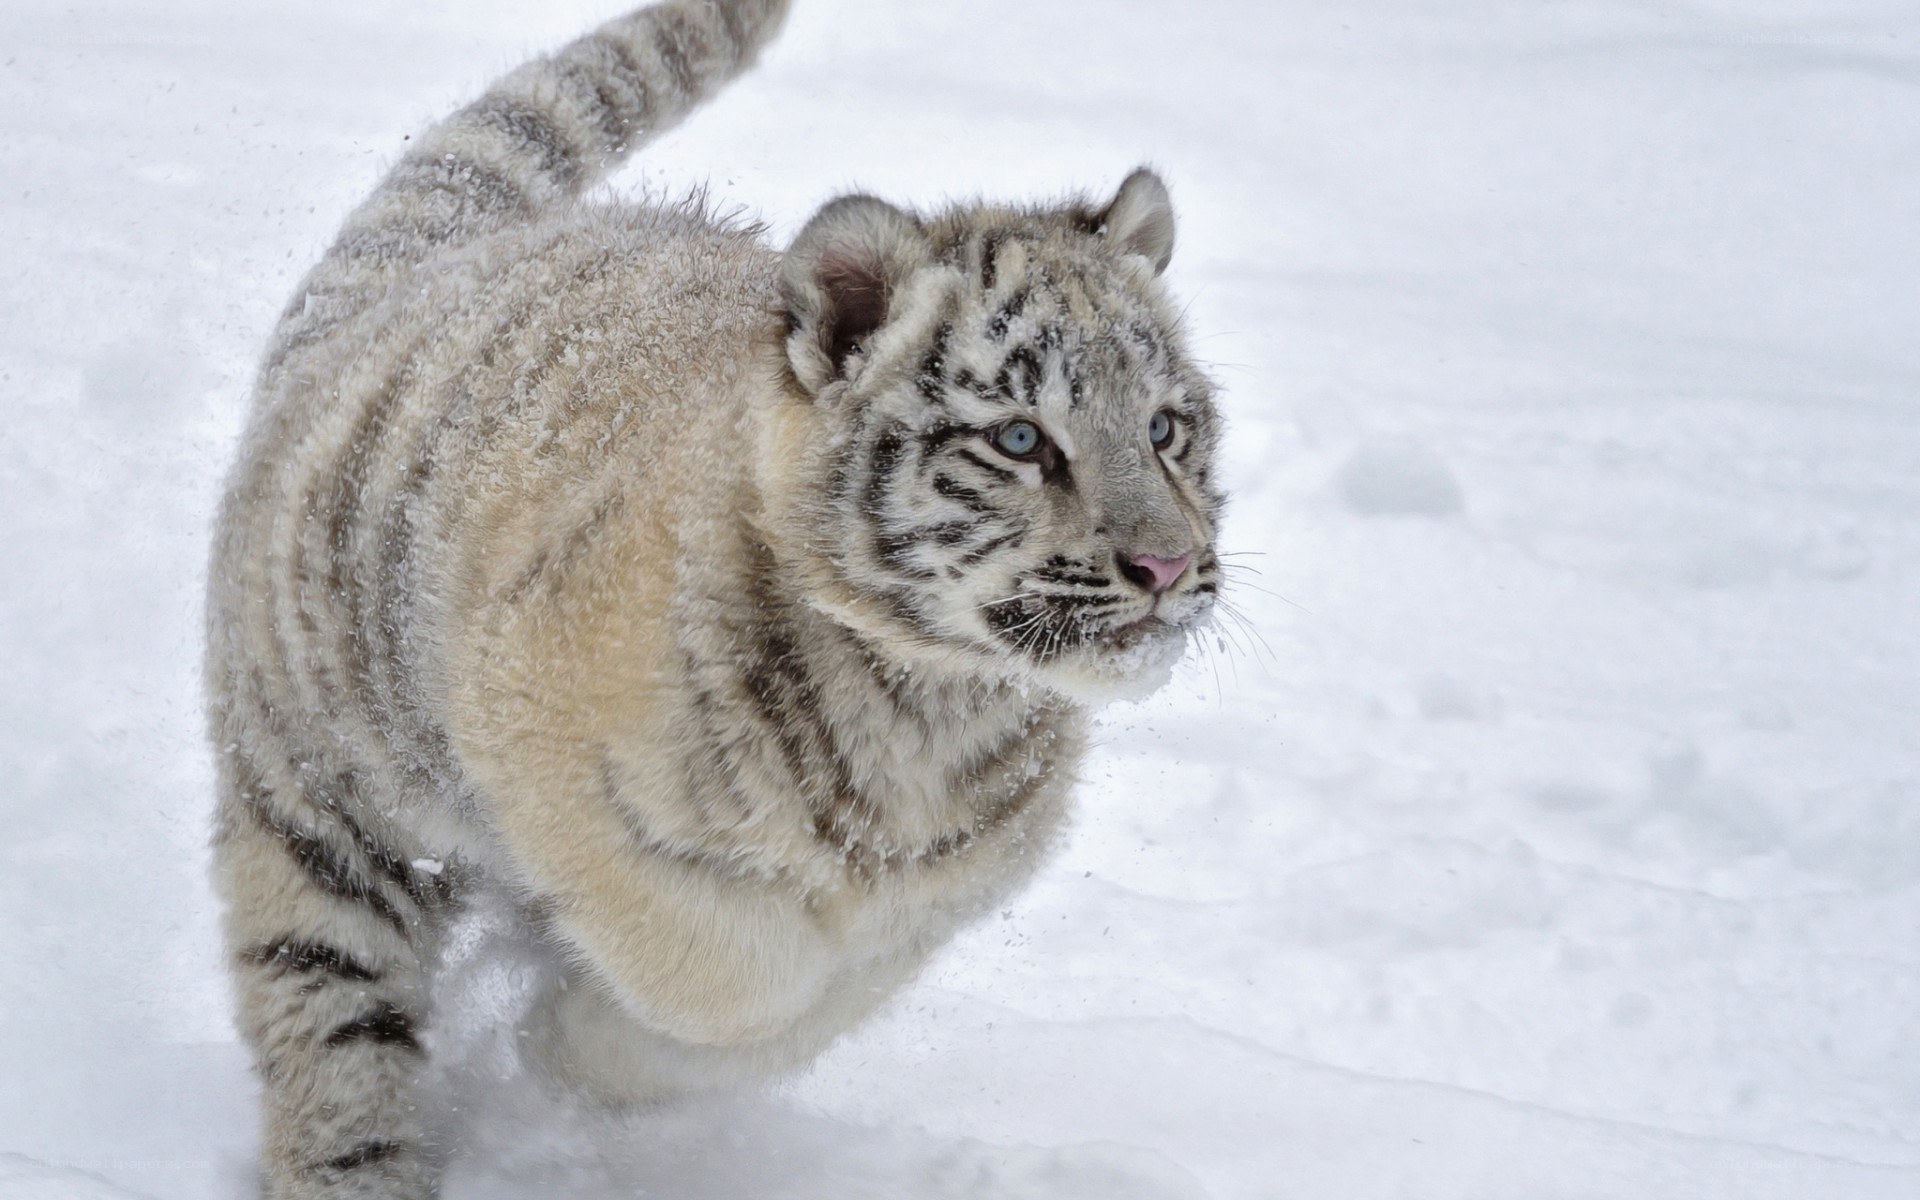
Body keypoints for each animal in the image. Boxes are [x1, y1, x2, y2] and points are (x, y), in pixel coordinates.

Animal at [203, 0, 1227, 1195]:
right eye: (1021, 440)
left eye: (1163, 428)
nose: (1167, 567)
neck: (927, 706)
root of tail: (429, 269)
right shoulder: (543, 750)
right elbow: (727, 974)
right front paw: (560, 1038)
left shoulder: (923, 908)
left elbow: (794, 1010)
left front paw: (575, 1045)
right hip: (320, 807)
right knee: (333, 1030)